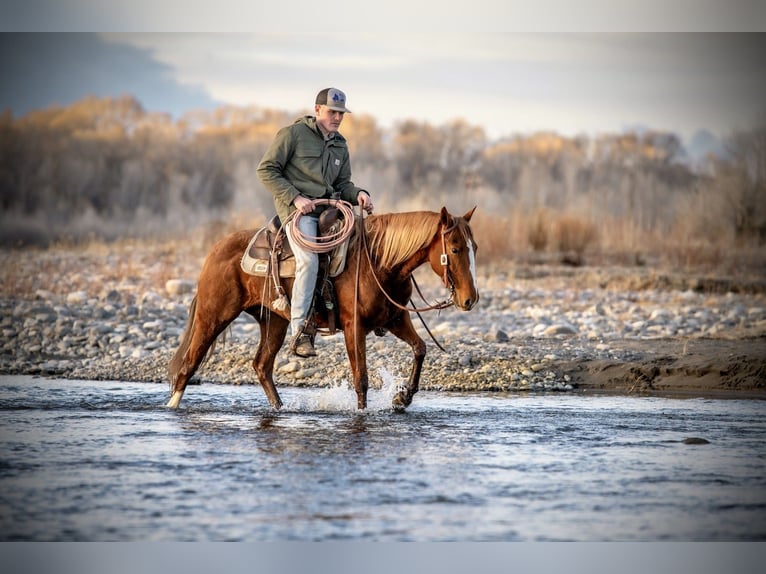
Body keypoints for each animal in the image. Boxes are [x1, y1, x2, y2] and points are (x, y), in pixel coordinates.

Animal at [166, 205, 479, 411]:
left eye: (473, 246)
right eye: (454, 248)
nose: (470, 299)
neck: (379, 263)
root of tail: (215, 250)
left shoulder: (396, 318)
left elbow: (420, 348)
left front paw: (402, 397)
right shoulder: (355, 327)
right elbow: (361, 379)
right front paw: (363, 413)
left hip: (274, 322)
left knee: (262, 366)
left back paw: (280, 409)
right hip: (213, 316)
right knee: (189, 363)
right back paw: (172, 406)